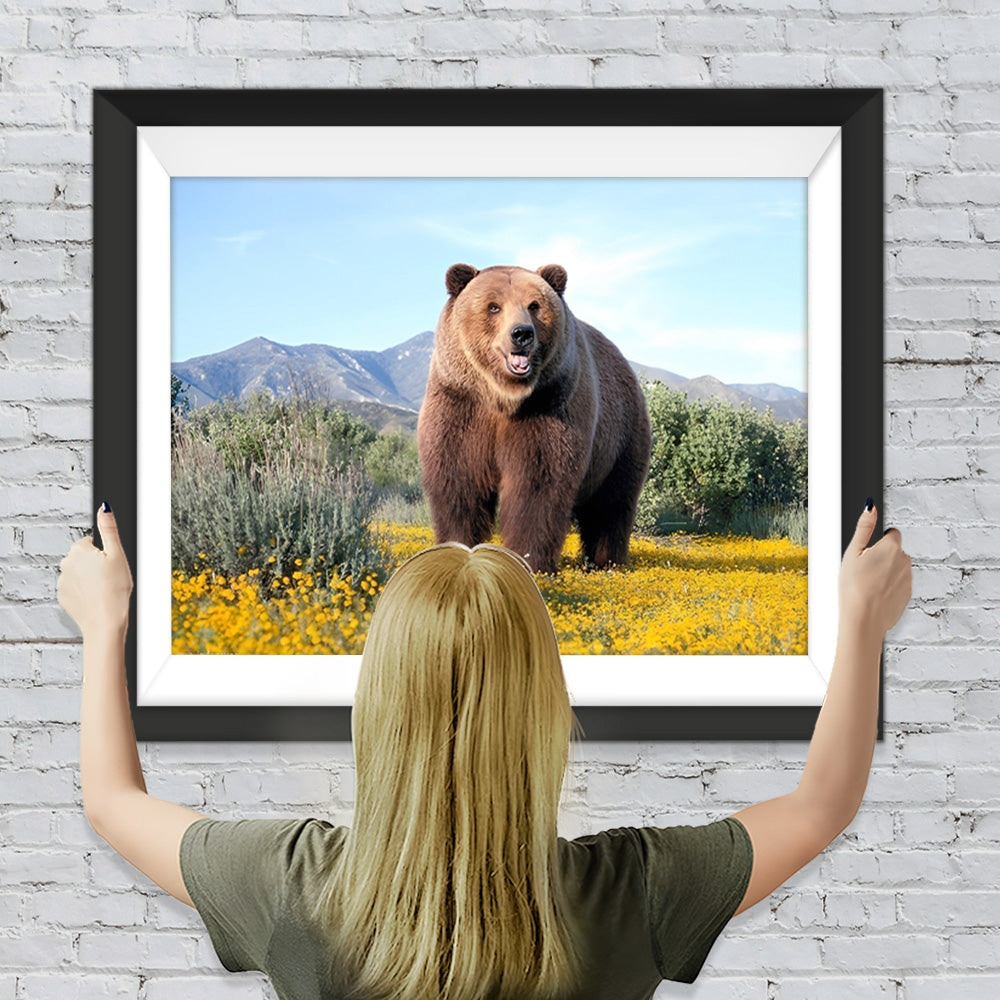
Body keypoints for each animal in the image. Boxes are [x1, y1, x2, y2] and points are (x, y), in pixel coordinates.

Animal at [416, 262, 652, 575]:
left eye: (534, 305)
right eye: (493, 306)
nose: (521, 334)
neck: (503, 397)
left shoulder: (549, 404)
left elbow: (538, 483)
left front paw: (529, 560)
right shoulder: (460, 403)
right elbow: (458, 479)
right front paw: (456, 548)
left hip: (621, 437)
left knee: (611, 503)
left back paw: (606, 561)